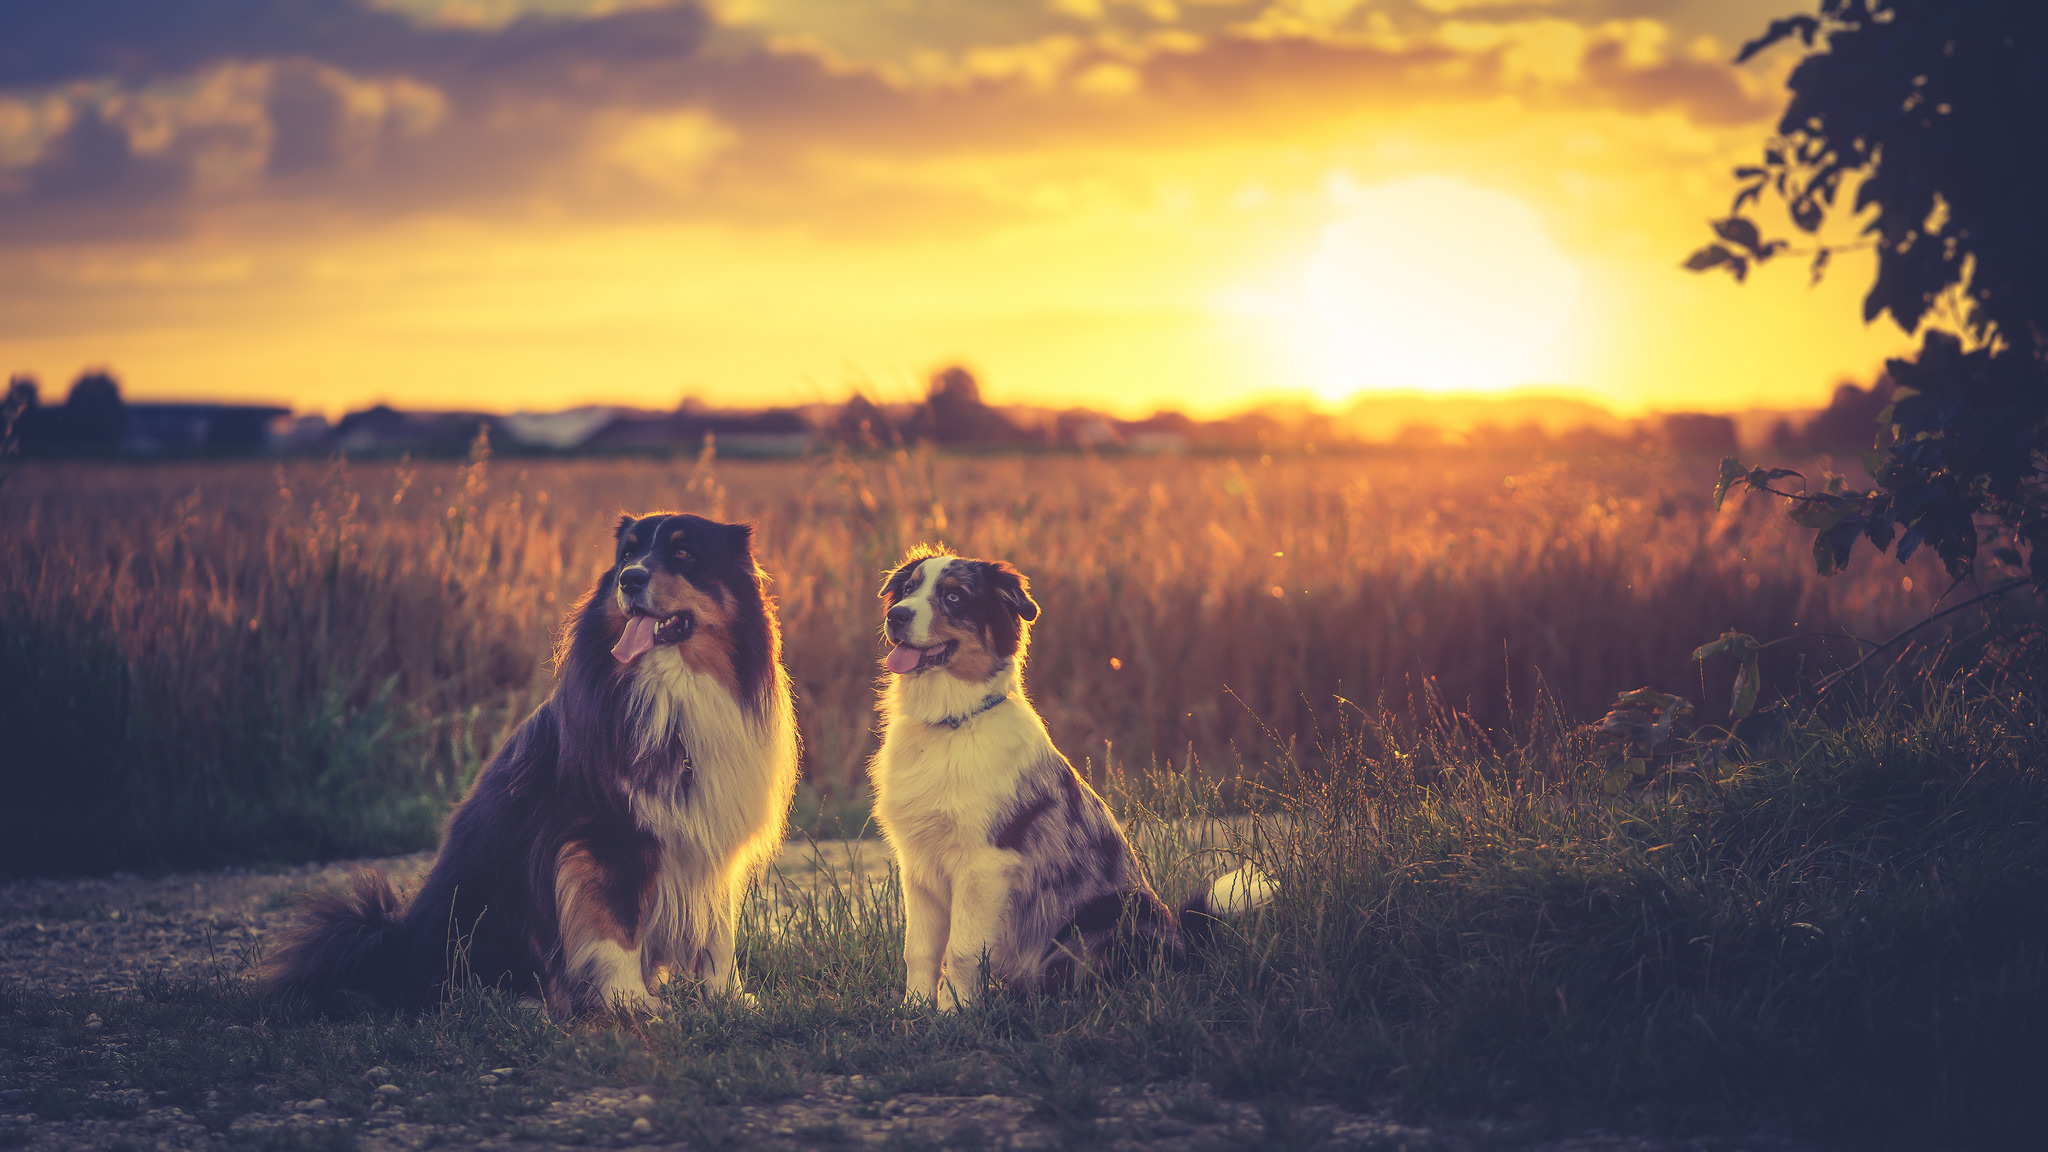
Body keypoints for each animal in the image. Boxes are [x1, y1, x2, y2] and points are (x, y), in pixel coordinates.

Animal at [264, 510, 790, 1012]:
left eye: (683, 552)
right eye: (627, 554)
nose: (630, 579)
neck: (675, 687)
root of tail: (395, 947)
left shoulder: (708, 840)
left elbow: (717, 934)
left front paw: (727, 998)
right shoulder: (601, 834)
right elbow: (616, 924)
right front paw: (630, 1000)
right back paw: (525, 1003)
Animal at [864, 545, 1261, 1004]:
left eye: (954, 597)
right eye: (909, 589)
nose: (897, 616)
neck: (950, 723)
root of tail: (1182, 943)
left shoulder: (985, 861)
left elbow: (960, 951)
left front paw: (954, 1011)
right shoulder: (920, 864)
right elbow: (921, 950)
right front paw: (915, 1008)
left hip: (1114, 917)